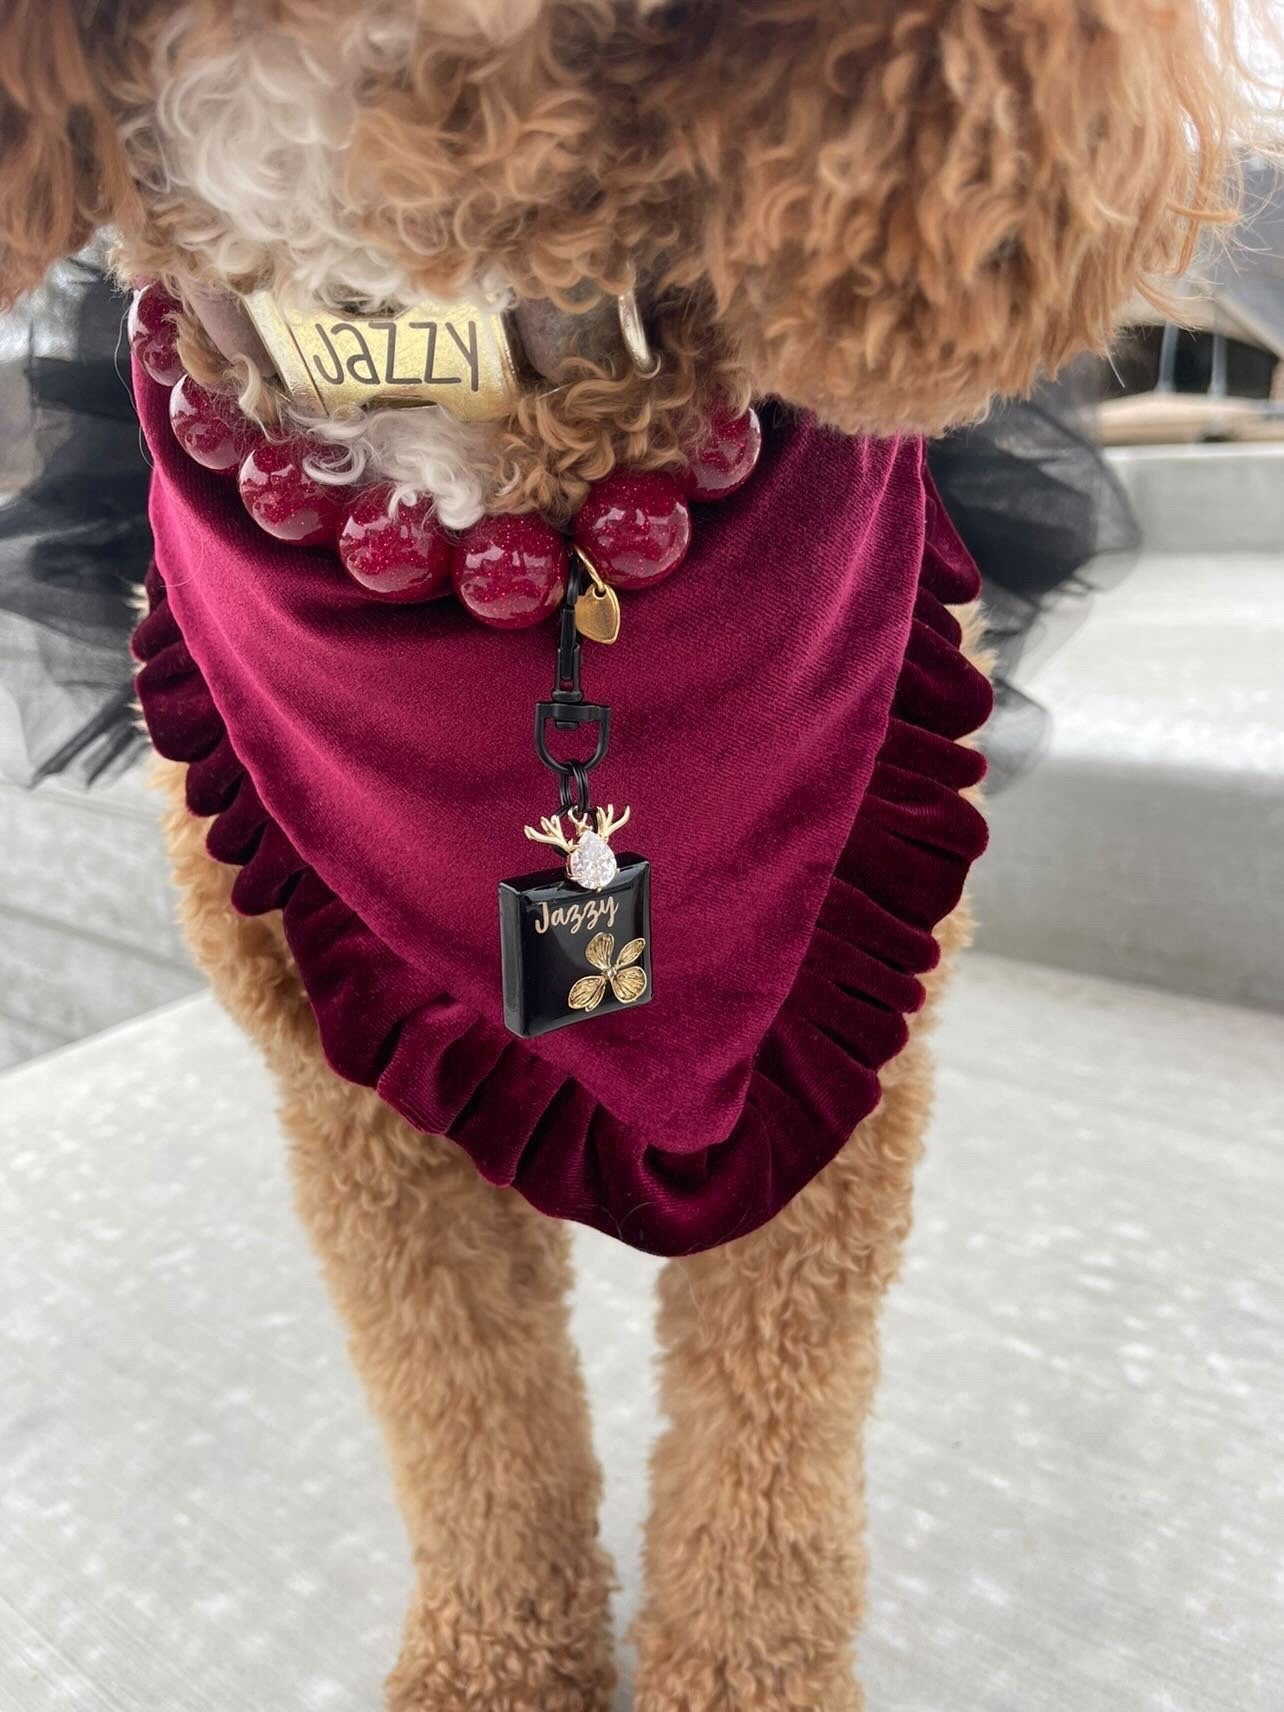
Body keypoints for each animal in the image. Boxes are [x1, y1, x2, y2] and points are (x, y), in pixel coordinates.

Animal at [0, 6, 1266, 1705]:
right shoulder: (353, 1114)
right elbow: (469, 1422)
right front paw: (494, 1666)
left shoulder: (837, 1062)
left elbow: (768, 1463)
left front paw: (743, 1675)